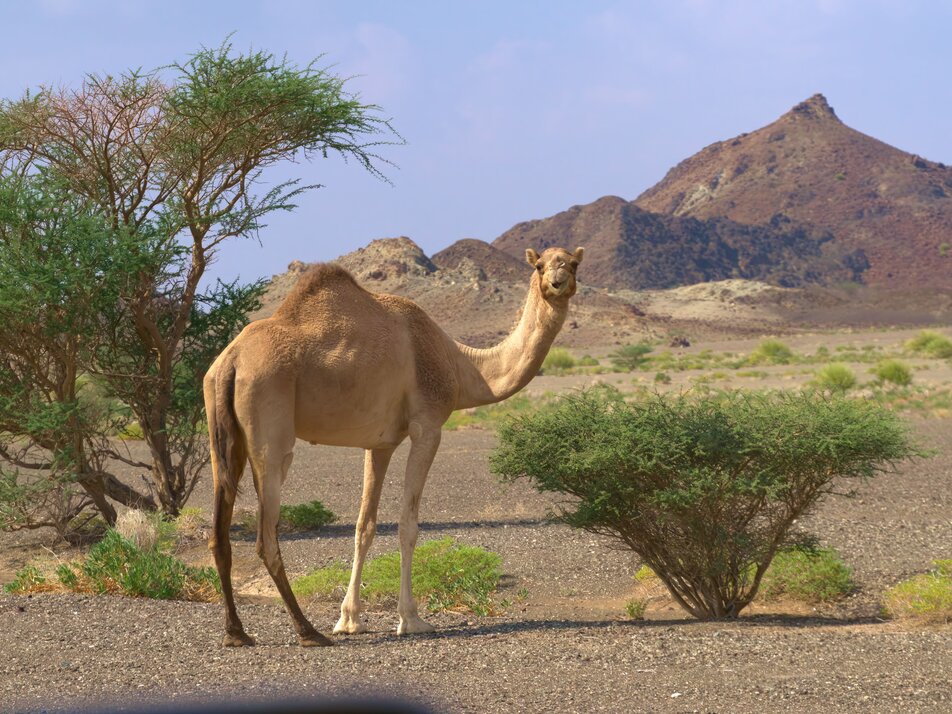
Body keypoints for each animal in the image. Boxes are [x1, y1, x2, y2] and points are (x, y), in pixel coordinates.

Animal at [205, 245, 584, 644]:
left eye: (573, 264)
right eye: (539, 265)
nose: (557, 282)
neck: (461, 367)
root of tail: (231, 361)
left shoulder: (380, 443)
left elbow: (365, 527)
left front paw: (349, 619)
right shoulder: (427, 427)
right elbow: (408, 524)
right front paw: (411, 618)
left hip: (224, 437)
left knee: (219, 534)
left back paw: (237, 632)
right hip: (271, 431)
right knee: (266, 536)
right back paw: (307, 630)